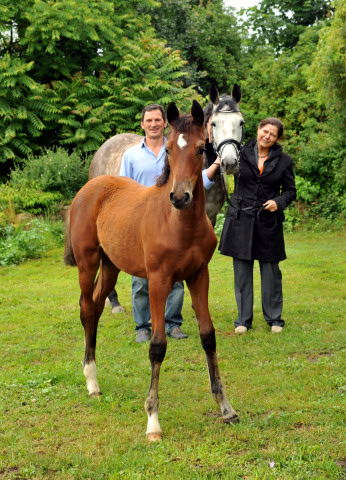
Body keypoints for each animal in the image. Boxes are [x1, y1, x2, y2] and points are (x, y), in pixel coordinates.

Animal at [63, 99, 238, 440]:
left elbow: (208, 337)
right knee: (86, 308)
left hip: (111, 266)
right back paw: (92, 382)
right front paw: (153, 421)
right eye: (168, 149)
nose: (180, 196)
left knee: (96, 308)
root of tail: (92, 184)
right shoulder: (159, 281)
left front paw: (226, 408)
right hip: (88, 262)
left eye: (200, 148)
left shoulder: (200, 276)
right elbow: (157, 346)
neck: (179, 224)